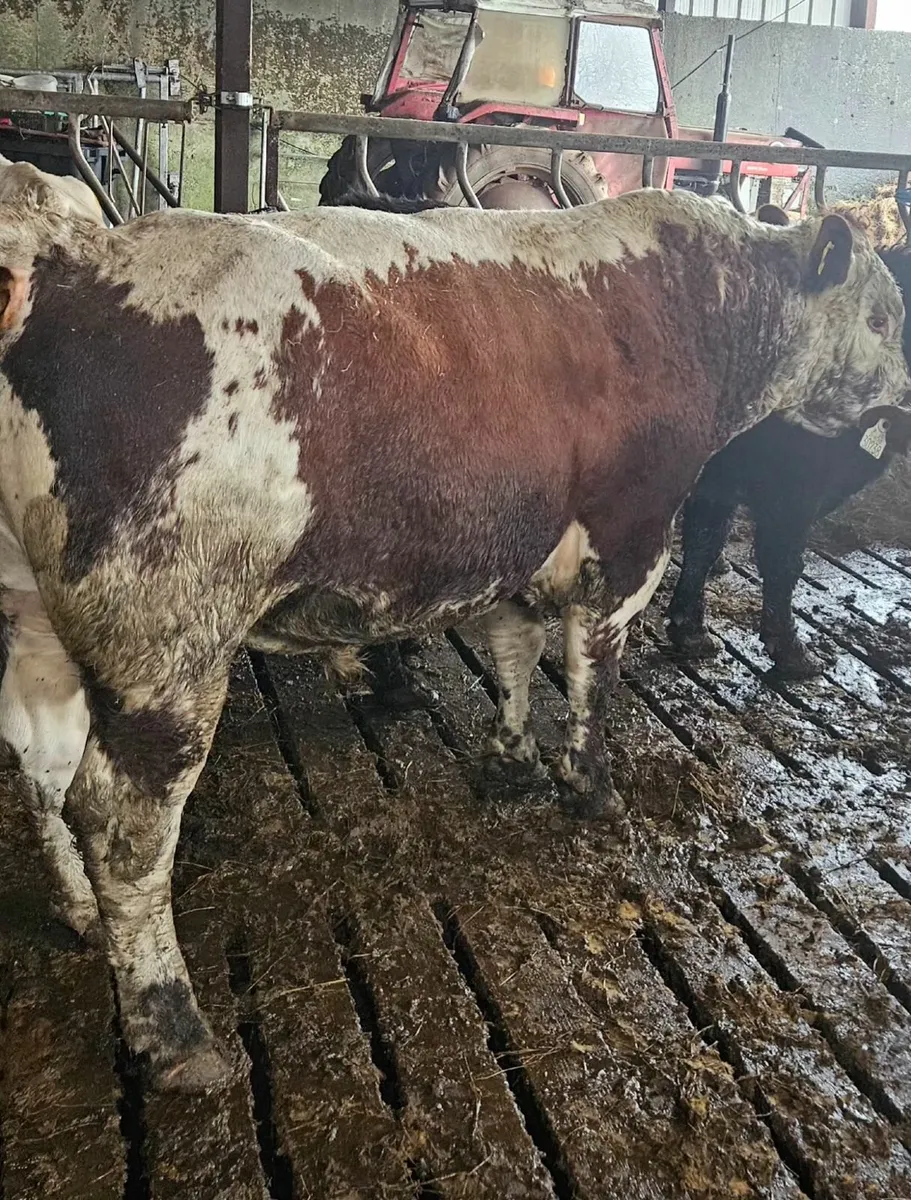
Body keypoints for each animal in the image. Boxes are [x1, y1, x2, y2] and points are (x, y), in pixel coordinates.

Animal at [667, 230, 911, 678]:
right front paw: (791, 649)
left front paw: (688, 628)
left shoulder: (720, 479)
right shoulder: (793, 489)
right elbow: (782, 561)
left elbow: (705, 539)